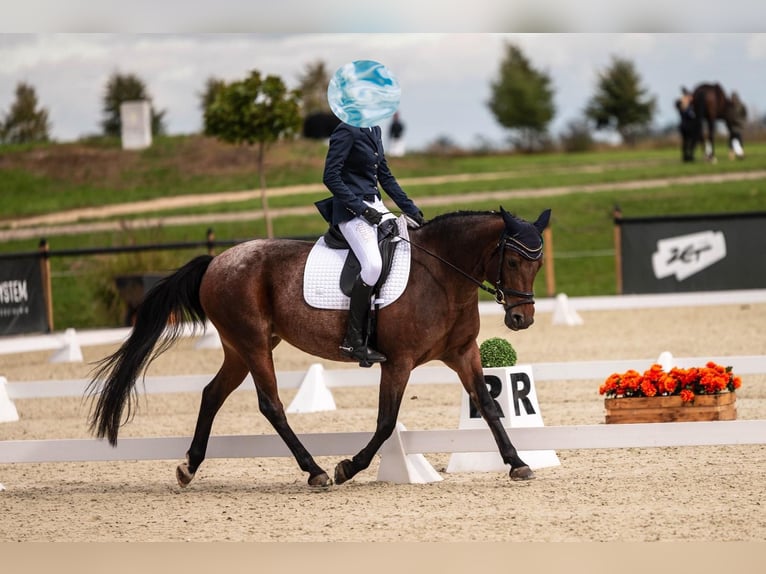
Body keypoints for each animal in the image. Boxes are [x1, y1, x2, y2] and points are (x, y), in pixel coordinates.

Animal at [88, 209, 552, 488]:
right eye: (513, 261)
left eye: (538, 264)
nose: (521, 319)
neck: (441, 275)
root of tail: (216, 261)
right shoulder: (398, 363)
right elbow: (386, 421)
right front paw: (349, 467)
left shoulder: (463, 353)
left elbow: (488, 406)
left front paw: (517, 462)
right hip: (253, 344)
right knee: (271, 404)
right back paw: (316, 472)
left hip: (240, 348)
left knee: (212, 395)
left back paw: (188, 467)